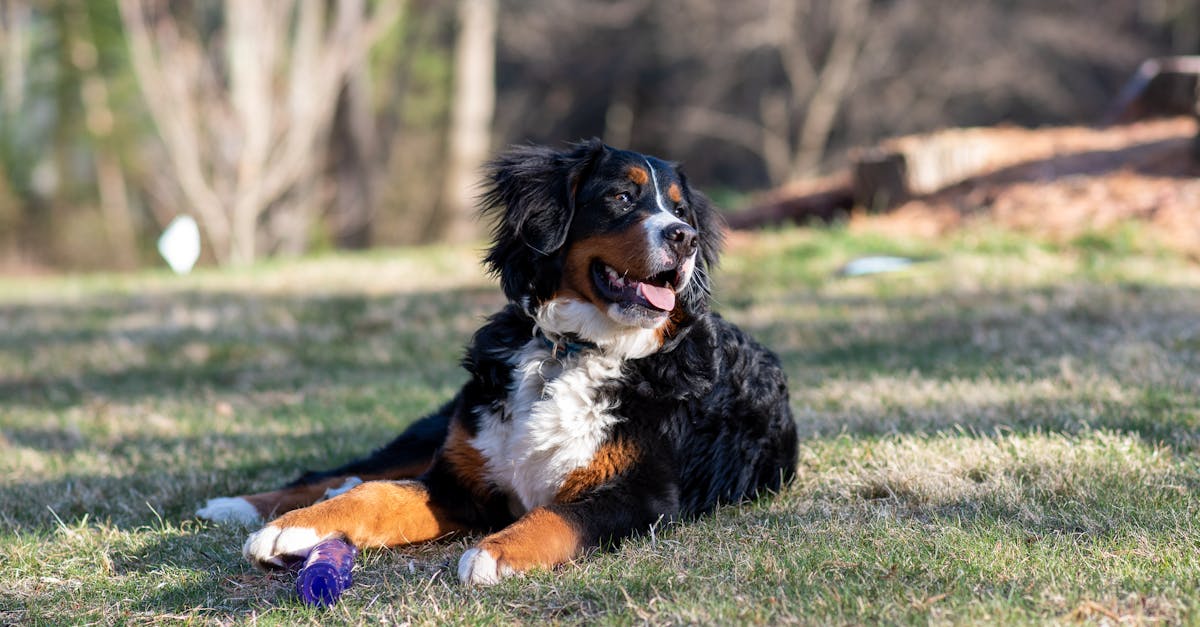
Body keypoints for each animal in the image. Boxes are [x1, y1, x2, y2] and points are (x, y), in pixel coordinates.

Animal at [196, 139, 796, 583]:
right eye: (623, 197)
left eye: (680, 209)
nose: (684, 237)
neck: (571, 350)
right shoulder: (461, 480)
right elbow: (378, 494)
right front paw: (294, 527)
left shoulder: (643, 494)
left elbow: (560, 515)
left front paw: (495, 552)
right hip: (431, 431)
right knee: (344, 473)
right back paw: (239, 505)